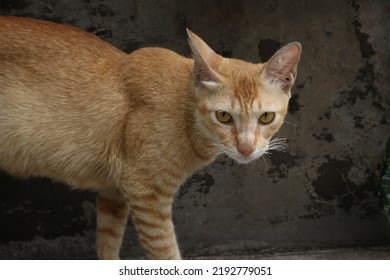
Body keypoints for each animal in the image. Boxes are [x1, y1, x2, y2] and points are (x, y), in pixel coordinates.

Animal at [0, 16, 302, 260]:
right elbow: (166, 254)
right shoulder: (145, 193)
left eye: (266, 117)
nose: (246, 148)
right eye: (224, 116)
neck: (185, 111)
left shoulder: (114, 192)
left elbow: (108, 246)